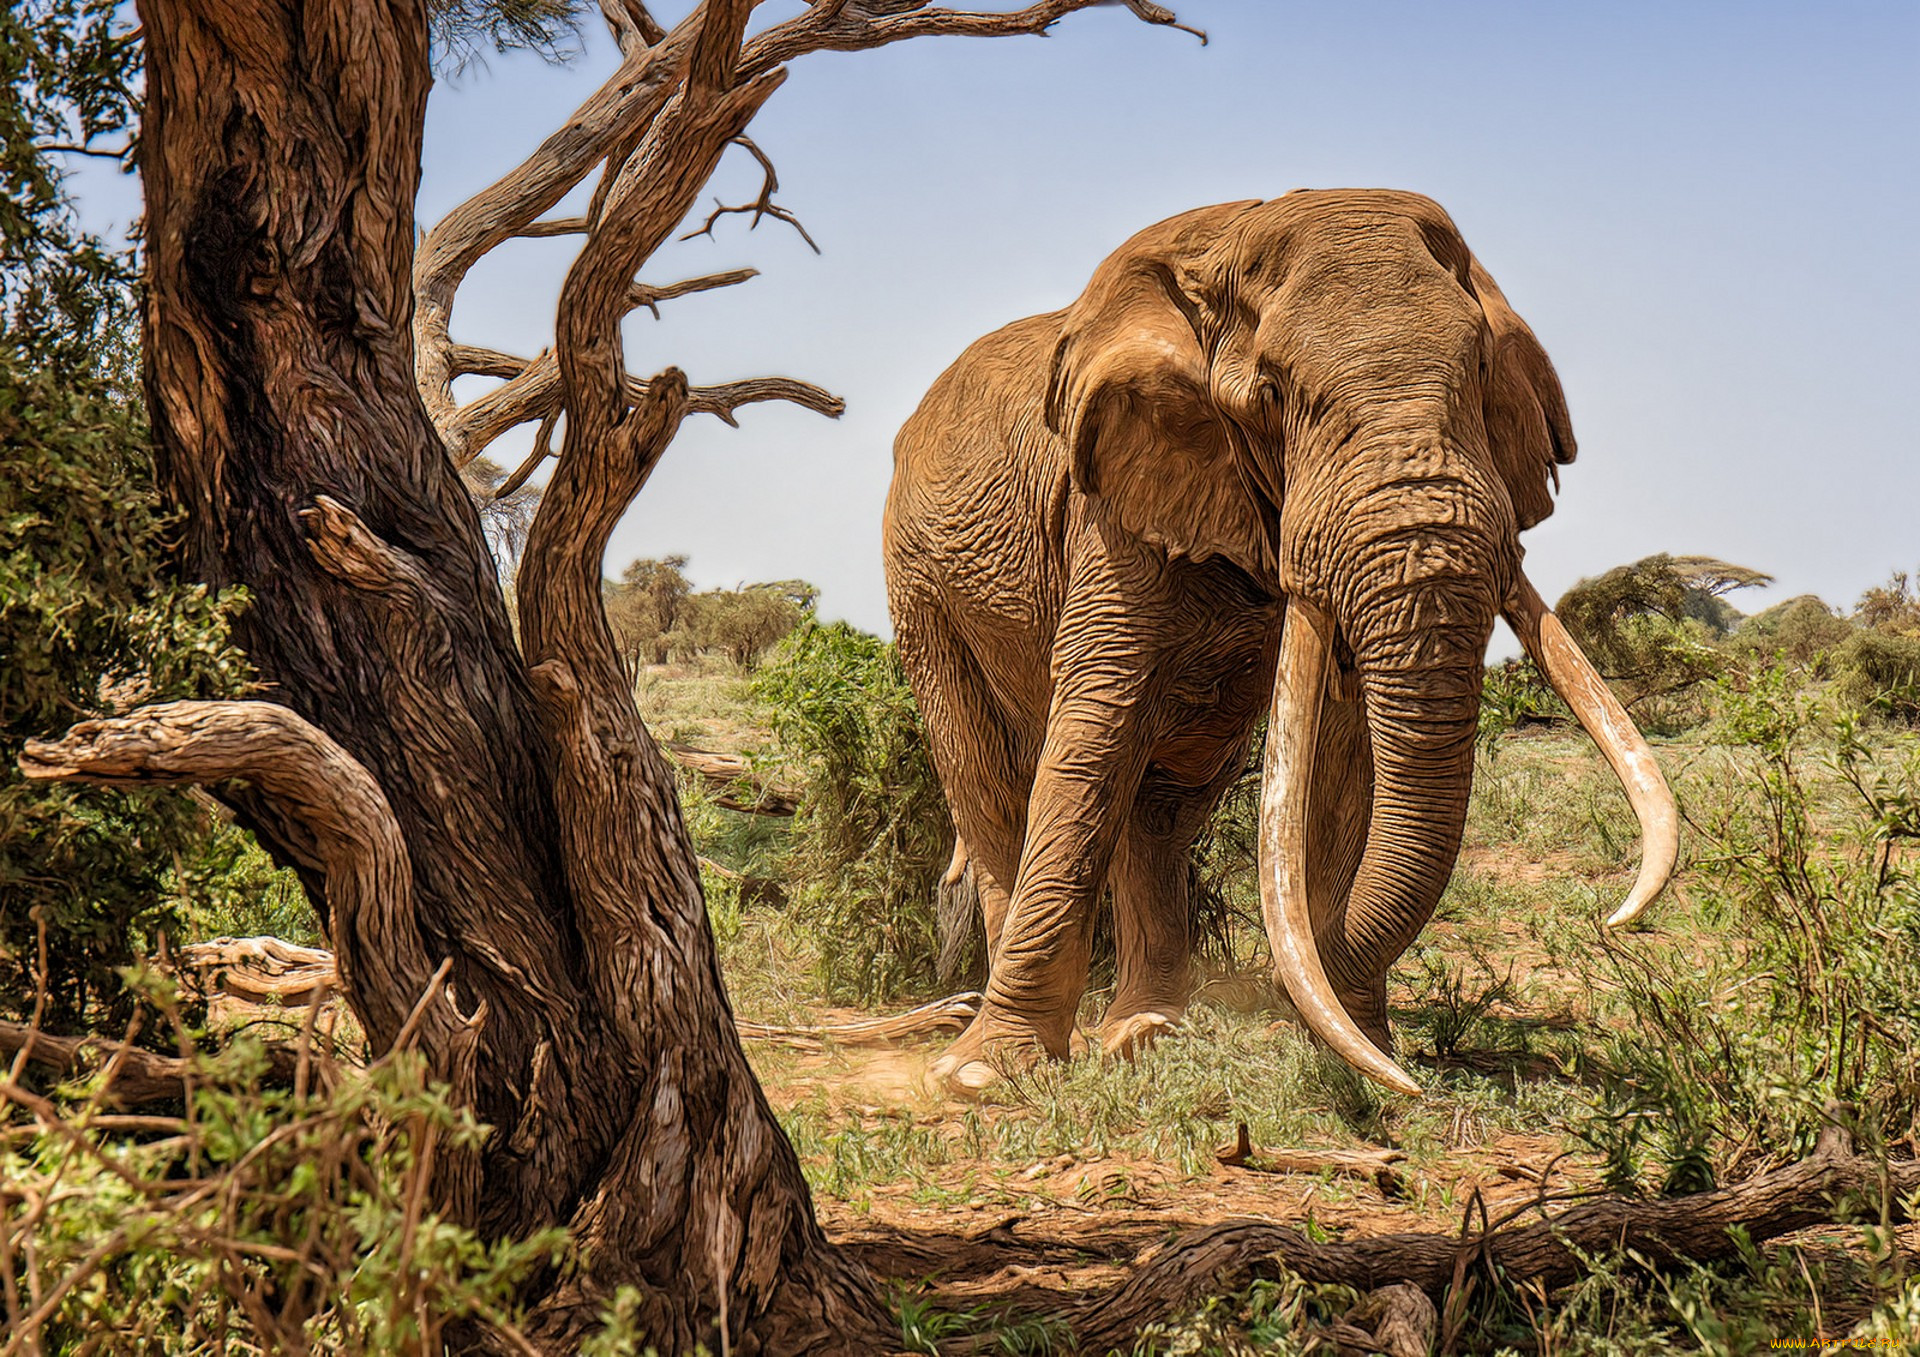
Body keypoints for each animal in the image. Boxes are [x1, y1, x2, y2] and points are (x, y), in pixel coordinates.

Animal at [883, 190, 1681, 1097]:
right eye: (1271, 395)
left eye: (1480, 371)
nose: (1277, 1002)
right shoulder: (1110, 502)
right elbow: (1099, 717)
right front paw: (986, 1077)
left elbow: (1344, 743)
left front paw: (1356, 1040)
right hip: (919, 583)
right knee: (990, 787)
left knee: (1166, 798)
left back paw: (1147, 1027)